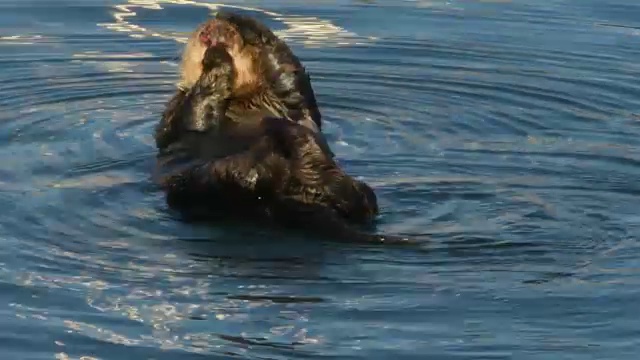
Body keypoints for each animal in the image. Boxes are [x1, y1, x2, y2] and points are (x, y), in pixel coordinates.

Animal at [152, 12, 408, 246]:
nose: (209, 33)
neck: (243, 97)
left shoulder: (291, 98)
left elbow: (288, 72)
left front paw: (241, 22)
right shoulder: (175, 113)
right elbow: (194, 117)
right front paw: (216, 58)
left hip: (357, 191)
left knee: (357, 201)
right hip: (200, 185)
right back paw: (284, 138)